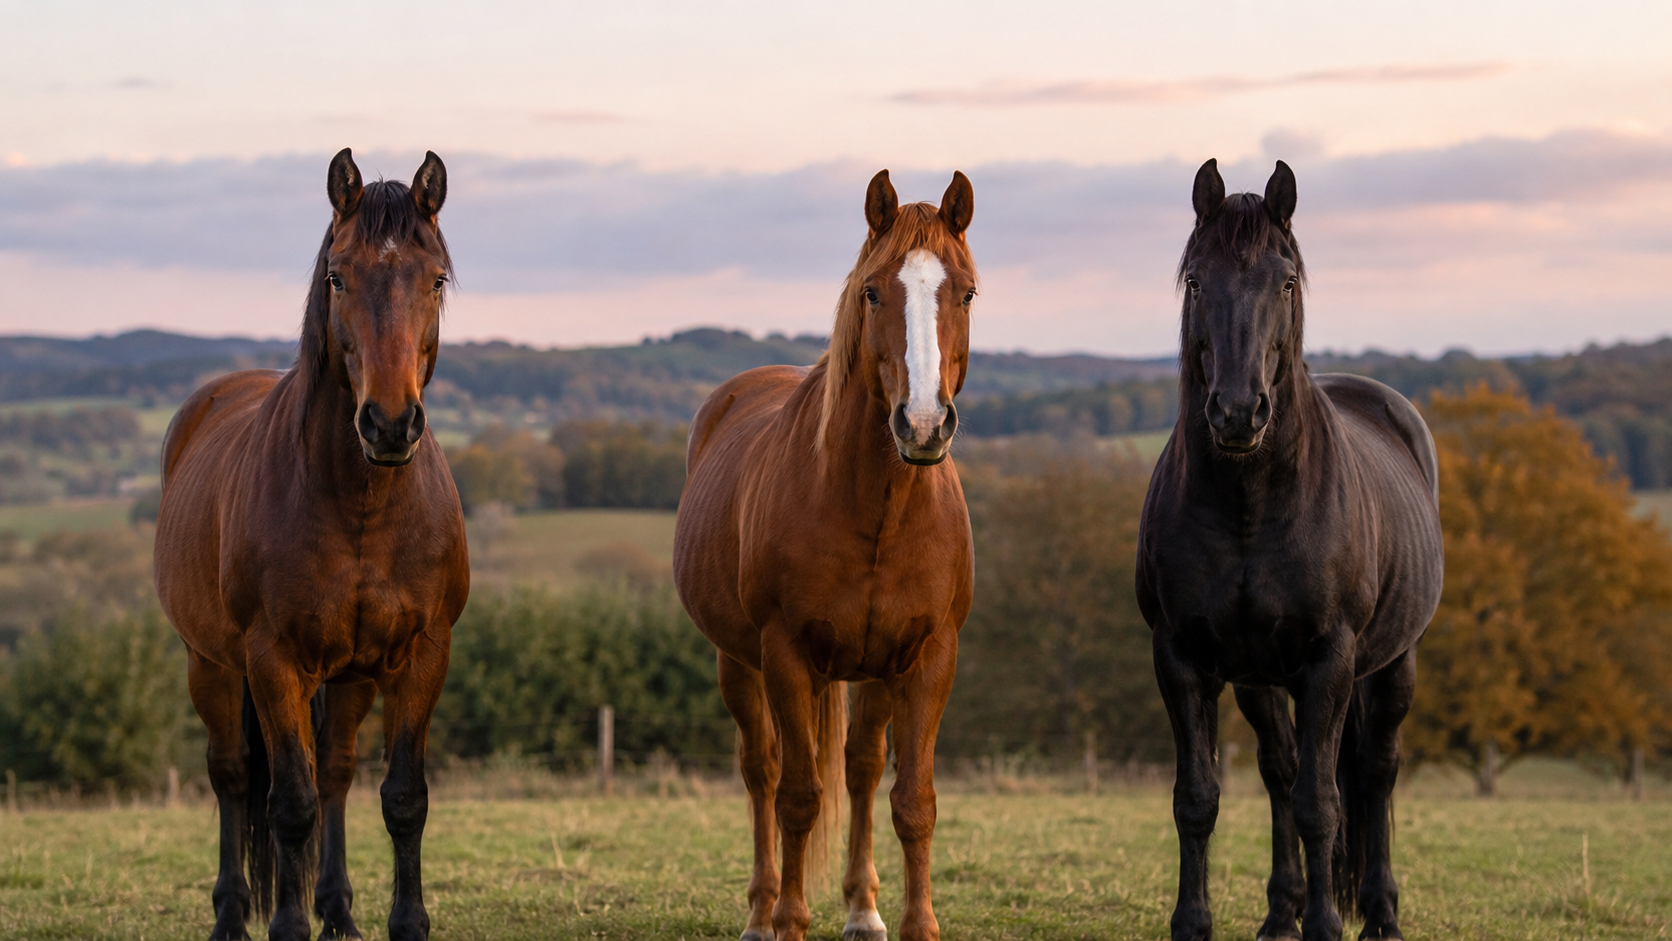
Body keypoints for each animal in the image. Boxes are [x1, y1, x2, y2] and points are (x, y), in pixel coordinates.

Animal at [154, 149, 469, 941]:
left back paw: (339, 911)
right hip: (210, 664)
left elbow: (402, 797)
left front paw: (405, 923)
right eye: (337, 276)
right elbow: (288, 804)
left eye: (435, 278)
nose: (389, 423)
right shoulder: (274, 661)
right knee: (234, 775)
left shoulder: (422, 656)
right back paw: (233, 916)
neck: (359, 506)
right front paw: (287, 925)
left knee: (335, 771)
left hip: (350, 676)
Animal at [674, 169, 977, 941]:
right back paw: (761, 910)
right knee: (762, 770)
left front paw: (914, 922)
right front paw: (788, 919)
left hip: (871, 670)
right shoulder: (785, 653)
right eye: (872, 291)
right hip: (739, 661)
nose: (922, 424)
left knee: (861, 769)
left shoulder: (927, 656)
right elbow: (798, 797)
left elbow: (912, 799)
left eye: (966, 292)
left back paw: (863, 907)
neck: (875, 508)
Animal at [1136, 159, 1443, 941]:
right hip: (1258, 678)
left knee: (1374, 771)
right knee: (1280, 771)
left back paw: (1380, 914)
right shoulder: (1182, 658)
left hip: (1393, 662)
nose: (1238, 412)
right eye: (1195, 281)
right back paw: (1281, 913)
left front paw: (1330, 924)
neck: (1250, 504)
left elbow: (1321, 803)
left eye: (1285, 282)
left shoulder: (1329, 660)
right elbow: (1199, 797)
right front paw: (1194, 923)